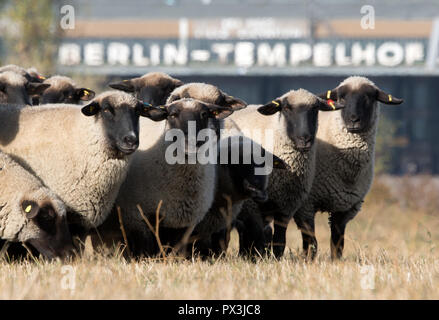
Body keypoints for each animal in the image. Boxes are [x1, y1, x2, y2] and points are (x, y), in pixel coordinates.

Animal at [225, 88, 346, 258]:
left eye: (316, 108)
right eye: (287, 108)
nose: (305, 139)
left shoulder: (286, 207)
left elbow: (279, 242)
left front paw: (273, 258)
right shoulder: (253, 206)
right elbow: (256, 236)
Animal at [294, 75, 404, 260]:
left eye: (369, 97)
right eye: (341, 98)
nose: (354, 120)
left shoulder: (344, 209)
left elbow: (337, 245)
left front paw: (336, 263)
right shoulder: (305, 205)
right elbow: (311, 243)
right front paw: (307, 261)